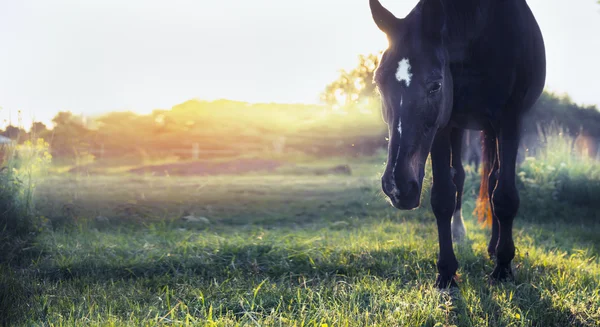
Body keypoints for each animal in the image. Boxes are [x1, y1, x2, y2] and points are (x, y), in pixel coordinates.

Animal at [368, 0, 548, 288]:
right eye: (378, 83)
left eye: (435, 85)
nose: (398, 187)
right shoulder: (444, 125)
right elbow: (443, 196)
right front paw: (446, 271)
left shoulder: (510, 120)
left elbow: (504, 195)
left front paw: (503, 266)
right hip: (460, 126)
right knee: (462, 176)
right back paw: (461, 232)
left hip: (492, 128)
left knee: (493, 178)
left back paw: (494, 247)